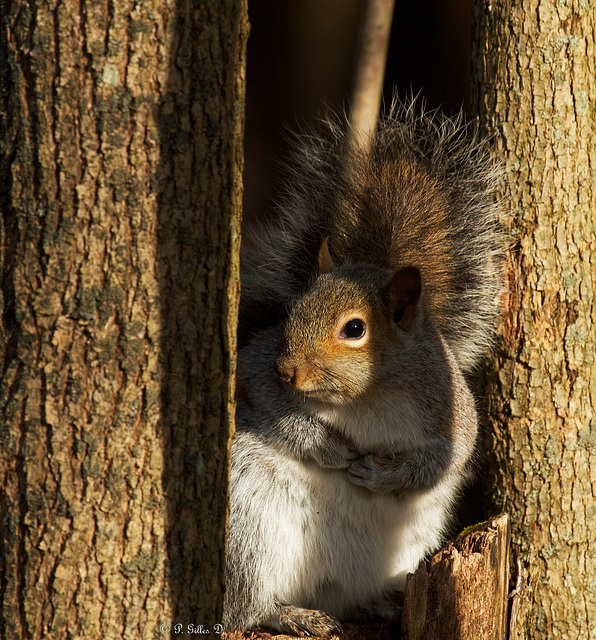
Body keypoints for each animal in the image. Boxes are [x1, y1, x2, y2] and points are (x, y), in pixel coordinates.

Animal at [224, 102, 502, 632]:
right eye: (292, 311)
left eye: (355, 329)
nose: (288, 371)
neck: (367, 398)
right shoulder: (255, 368)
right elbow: (273, 408)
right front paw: (329, 448)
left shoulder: (452, 412)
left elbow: (443, 461)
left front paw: (380, 475)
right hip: (248, 530)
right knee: (242, 610)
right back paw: (289, 614)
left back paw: (379, 604)